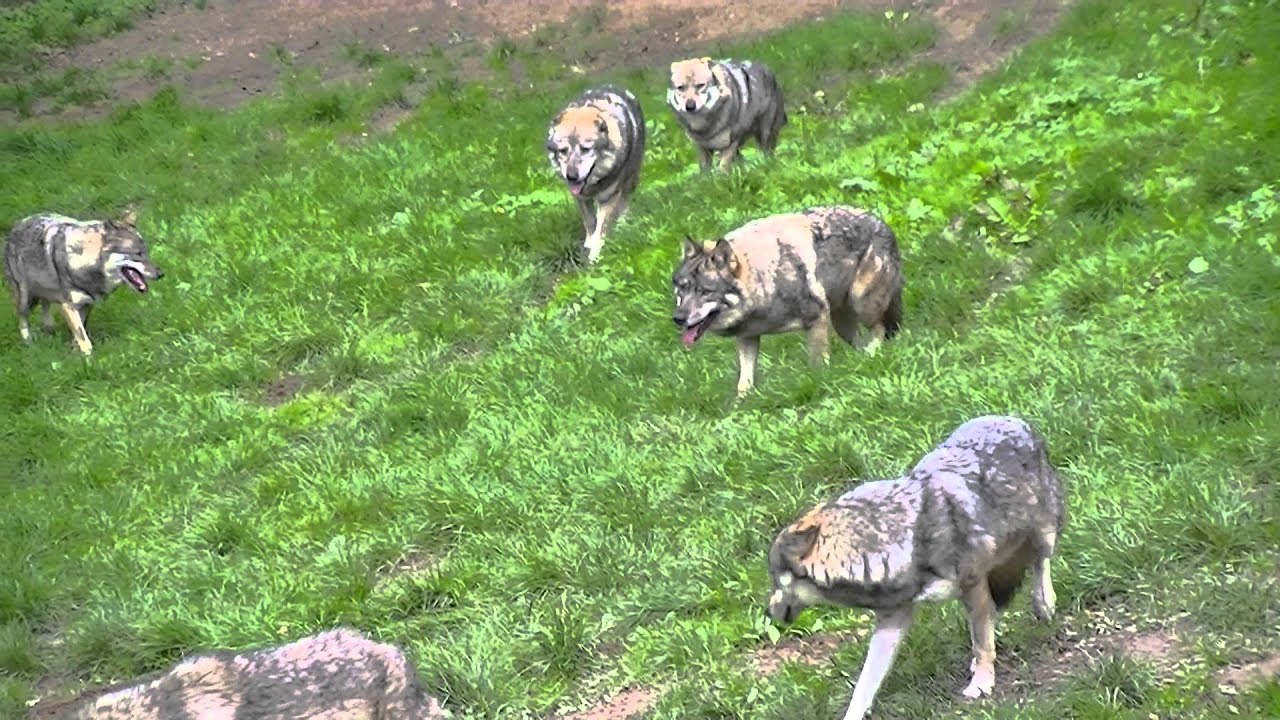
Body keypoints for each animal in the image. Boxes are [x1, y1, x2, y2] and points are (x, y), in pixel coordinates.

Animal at [4, 210, 163, 355]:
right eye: (138, 254)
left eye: (146, 252)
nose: (161, 274)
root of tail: (17, 225)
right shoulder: (68, 306)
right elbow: (83, 337)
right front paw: (87, 359)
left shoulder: (87, 304)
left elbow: (79, 332)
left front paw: (76, 351)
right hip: (25, 298)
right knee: (22, 318)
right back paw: (28, 342)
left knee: (45, 306)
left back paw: (49, 329)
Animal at [547, 85, 646, 264]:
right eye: (563, 150)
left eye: (585, 149)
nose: (571, 176)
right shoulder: (580, 198)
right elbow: (589, 222)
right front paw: (588, 243)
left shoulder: (608, 198)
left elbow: (601, 227)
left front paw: (594, 254)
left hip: (631, 179)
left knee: (625, 203)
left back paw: (622, 225)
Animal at [671, 205, 903, 396]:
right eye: (682, 288)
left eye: (705, 291)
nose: (678, 318)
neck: (762, 278)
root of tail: (884, 224)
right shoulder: (747, 337)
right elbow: (744, 383)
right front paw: (738, 407)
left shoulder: (817, 319)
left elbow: (818, 364)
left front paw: (820, 384)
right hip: (842, 325)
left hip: (861, 303)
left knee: (880, 330)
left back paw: (871, 356)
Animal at [765, 415, 1068, 720]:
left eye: (776, 581)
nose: (768, 612)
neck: (902, 540)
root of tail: (1014, 419)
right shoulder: (892, 620)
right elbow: (863, 687)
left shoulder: (973, 585)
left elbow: (982, 643)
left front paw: (982, 684)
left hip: (1043, 536)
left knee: (1039, 564)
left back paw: (1045, 604)